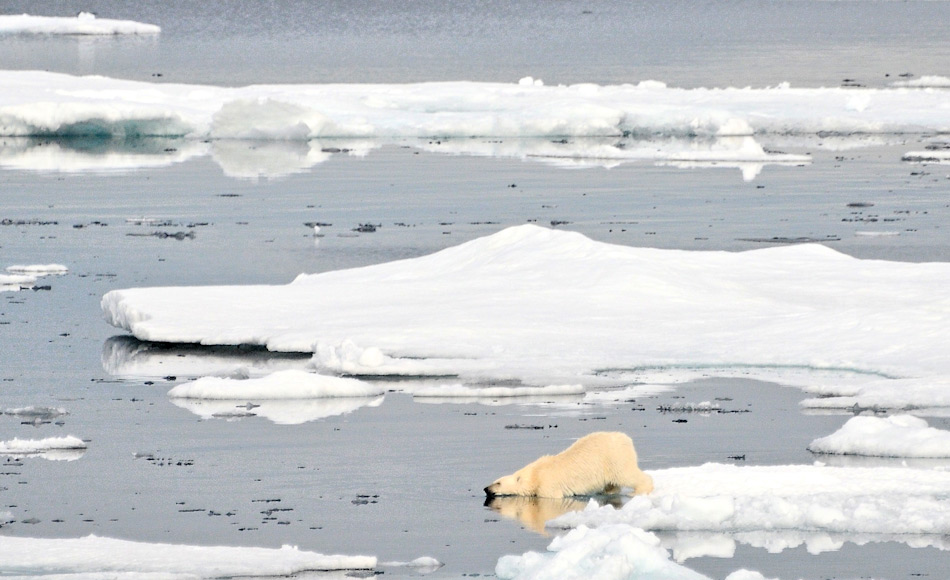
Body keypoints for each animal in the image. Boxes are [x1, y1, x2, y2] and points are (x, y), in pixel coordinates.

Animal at [484, 431, 654, 499]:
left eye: (498, 483)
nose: (486, 489)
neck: (534, 474)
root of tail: (626, 439)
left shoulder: (547, 486)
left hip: (614, 458)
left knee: (626, 475)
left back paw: (639, 490)